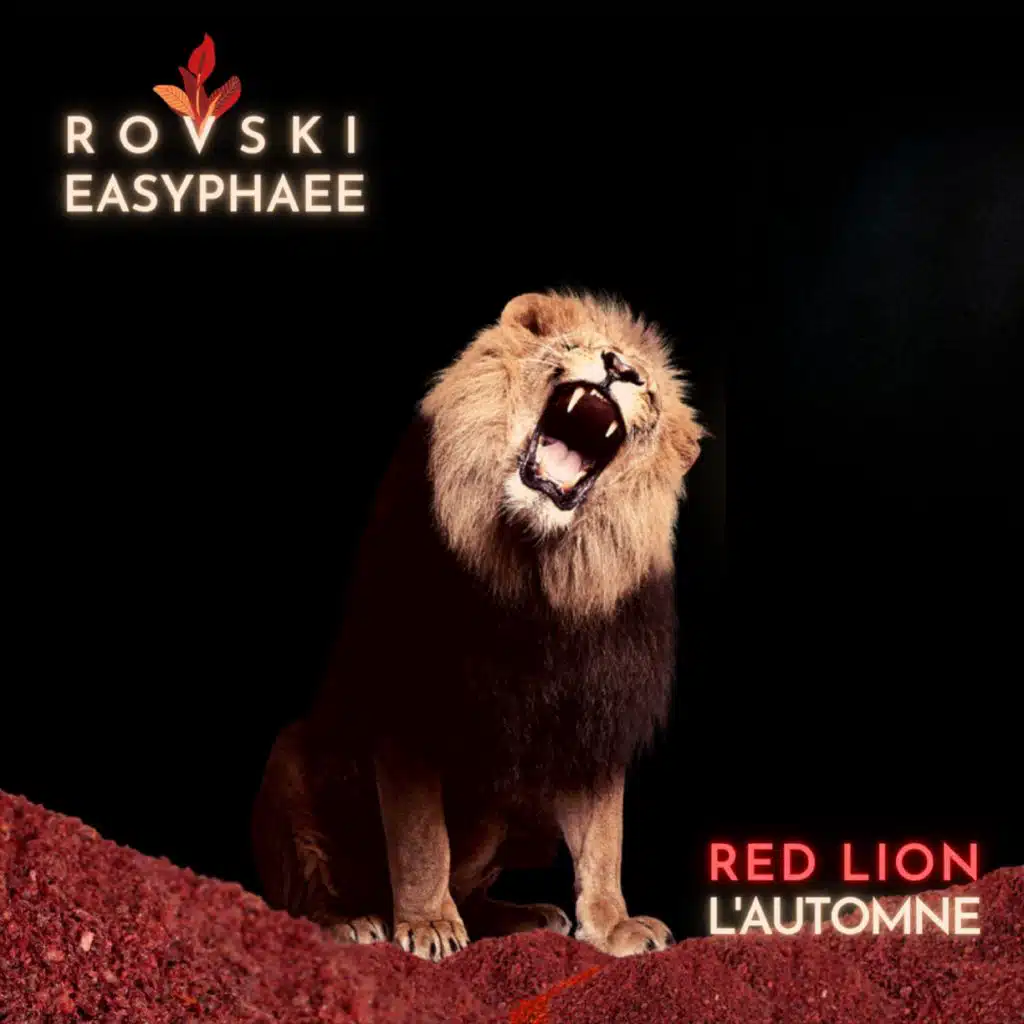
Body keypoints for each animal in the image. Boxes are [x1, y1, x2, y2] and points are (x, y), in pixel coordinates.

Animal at [251, 290, 705, 960]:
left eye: (644, 385)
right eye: (579, 347)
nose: (618, 369)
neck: (535, 564)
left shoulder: (595, 714)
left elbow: (603, 841)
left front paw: (612, 925)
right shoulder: (410, 707)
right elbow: (420, 841)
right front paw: (427, 925)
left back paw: (525, 917)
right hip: (289, 755)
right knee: (303, 893)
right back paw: (349, 920)